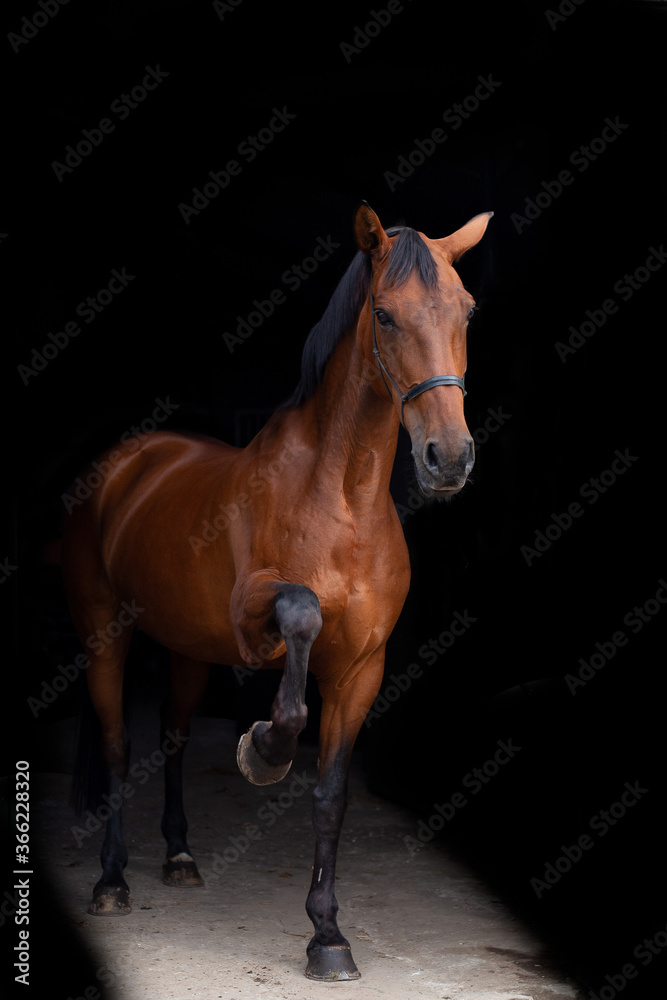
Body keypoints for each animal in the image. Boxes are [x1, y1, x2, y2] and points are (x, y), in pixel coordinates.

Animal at [61, 202, 493, 981]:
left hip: (187, 651)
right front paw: (263, 747)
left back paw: (179, 857)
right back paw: (111, 881)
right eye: (384, 315)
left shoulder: (360, 671)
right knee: (115, 746)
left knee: (171, 737)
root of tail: (126, 462)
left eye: (466, 310)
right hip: (105, 637)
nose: (448, 457)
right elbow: (300, 617)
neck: (342, 499)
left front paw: (328, 936)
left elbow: (329, 796)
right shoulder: (252, 615)